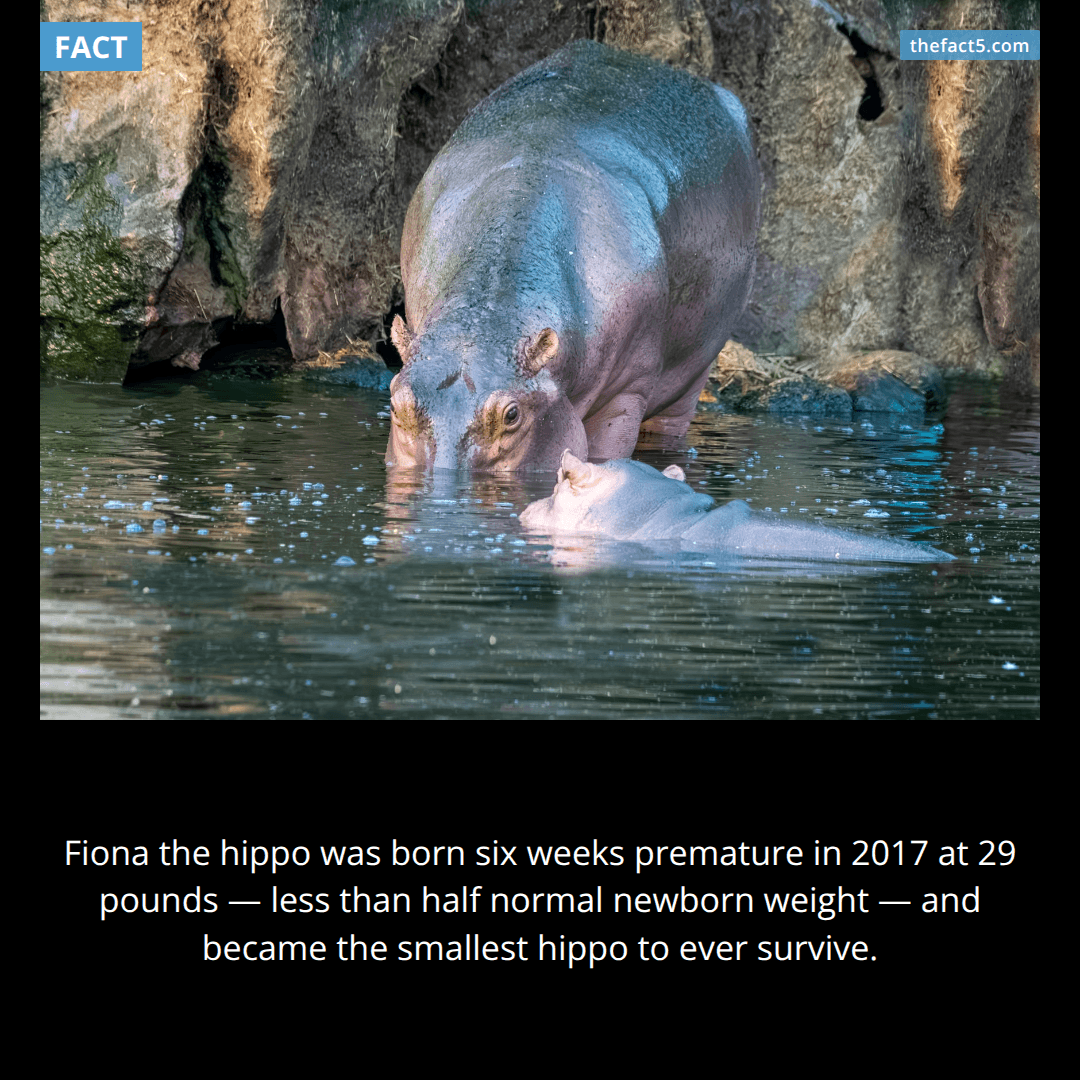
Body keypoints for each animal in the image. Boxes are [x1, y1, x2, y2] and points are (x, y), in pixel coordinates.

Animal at [387, 39, 760, 471]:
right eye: (396, 405)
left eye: (511, 415)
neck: (487, 317)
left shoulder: (626, 394)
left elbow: (604, 454)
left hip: (694, 373)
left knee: (671, 421)